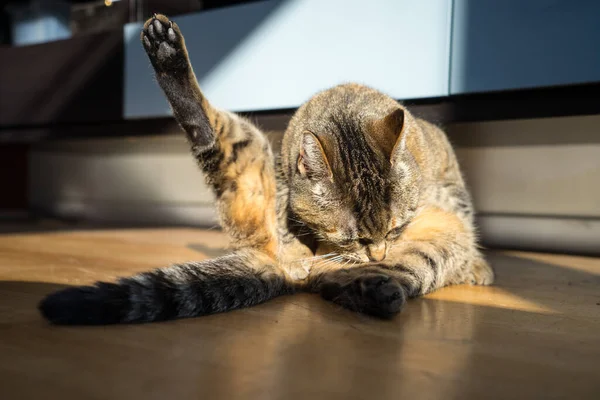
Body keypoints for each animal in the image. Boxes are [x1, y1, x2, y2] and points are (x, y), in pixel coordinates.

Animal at [39, 14, 494, 324]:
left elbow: (462, 205)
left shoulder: (446, 168)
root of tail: (269, 260)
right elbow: (298, 227)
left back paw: (373, 285)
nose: (378, 251)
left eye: (396, 227)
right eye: (354, 238)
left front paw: (477, 265)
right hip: (248, 151)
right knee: (207, 131)